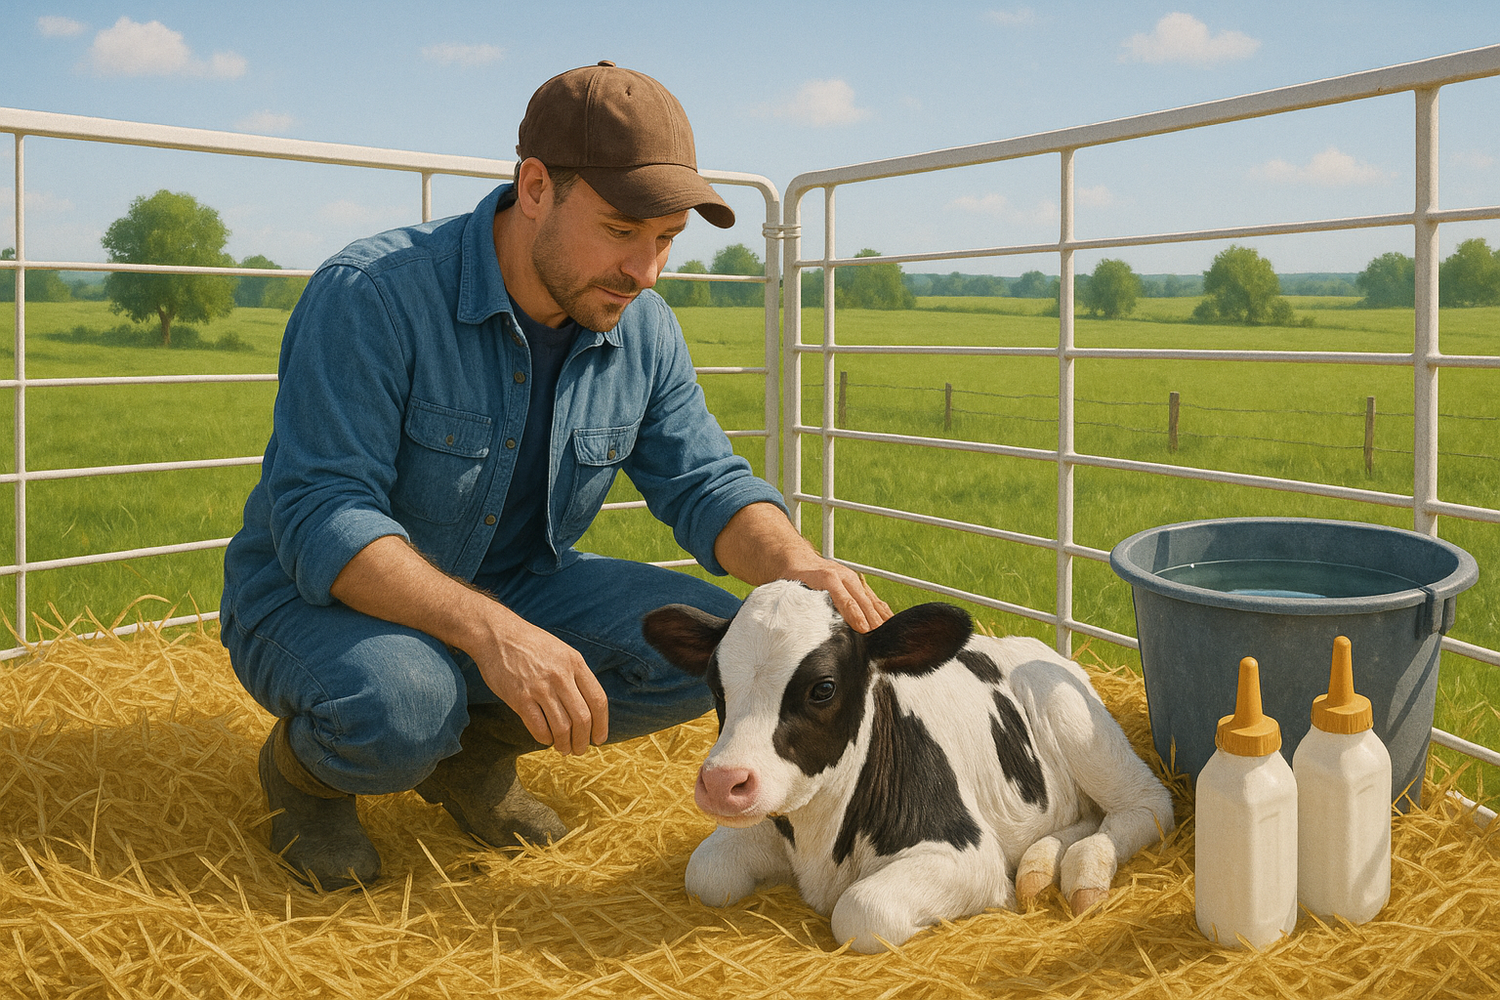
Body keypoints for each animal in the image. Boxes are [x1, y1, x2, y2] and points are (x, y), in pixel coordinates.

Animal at [641, 580, 1175, 953]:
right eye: (715, 686)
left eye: (823, 688)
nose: (722, 782)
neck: (822, 845)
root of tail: (1035, 646)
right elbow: (706, 872)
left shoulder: (967, 854)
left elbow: (861, 911)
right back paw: (1039, 868)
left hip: (1073, 717)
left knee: (1147, 804)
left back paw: (1087, 871)